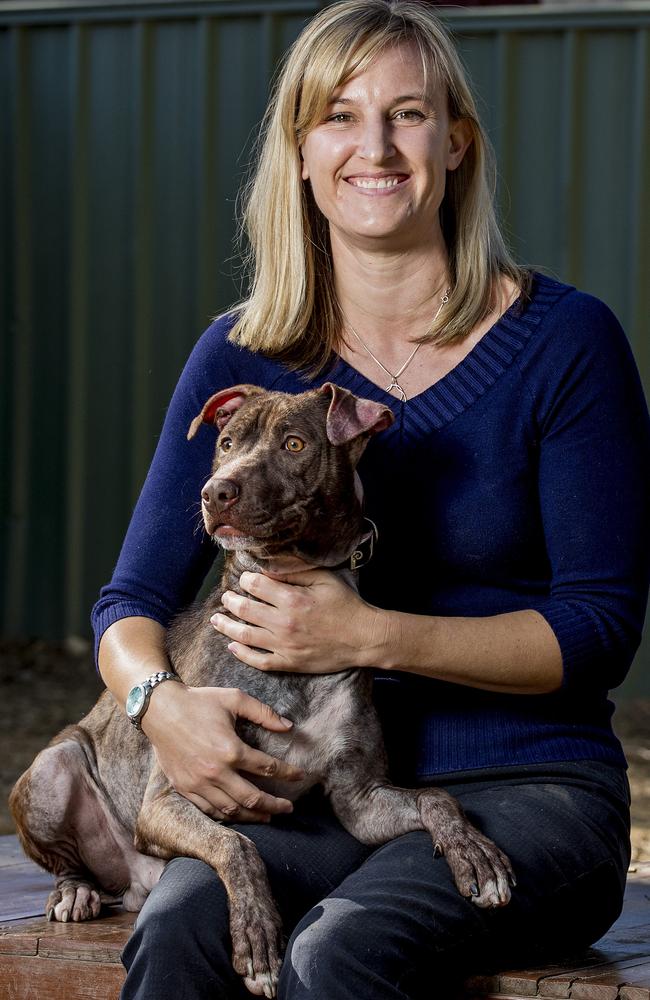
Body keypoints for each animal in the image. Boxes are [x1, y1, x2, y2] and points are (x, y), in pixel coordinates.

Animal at [8, 384, 512, 1000]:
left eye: (294, 444)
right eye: (225, 443)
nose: (215, 492)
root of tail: (132, 885)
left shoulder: (361, 801)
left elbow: (436, 798)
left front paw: (474, 853)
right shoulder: (167, 801)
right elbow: (237, 845)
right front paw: (256, 936)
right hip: (53, 768)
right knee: (67, 855)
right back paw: (74, 891)